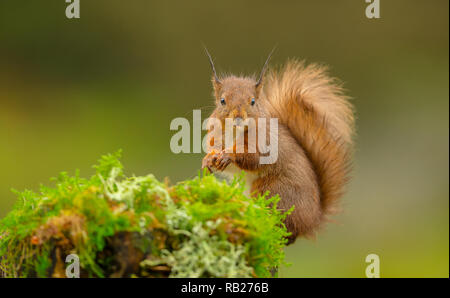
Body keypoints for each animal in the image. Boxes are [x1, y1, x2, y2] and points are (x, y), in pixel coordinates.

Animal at [201, 49, 356, 244]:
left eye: (253, 101)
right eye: (222, 101)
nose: (238, 117)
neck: (235, 131)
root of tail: (312, 220)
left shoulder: (263, 141)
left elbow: (252, 158)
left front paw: (229, 155)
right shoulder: (216, 135)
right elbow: (214, 150)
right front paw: (208, 160)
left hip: (271, 190)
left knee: (287, 230)